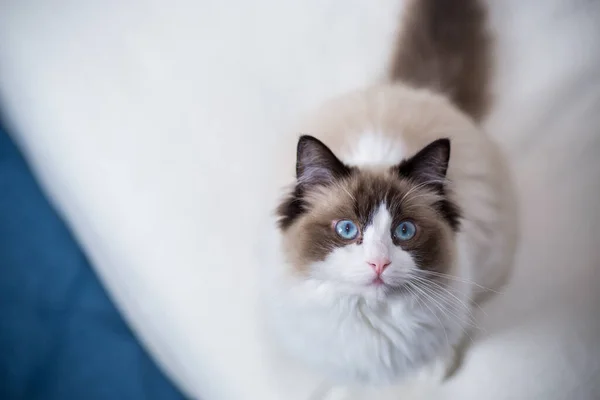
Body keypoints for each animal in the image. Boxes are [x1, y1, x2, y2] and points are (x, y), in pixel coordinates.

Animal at [260, 0, 516, 390]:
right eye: (347, 230)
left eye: (404, 231)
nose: (378, 264)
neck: (372, 318)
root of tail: (415, 89)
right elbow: (346, 377)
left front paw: (433, 375)